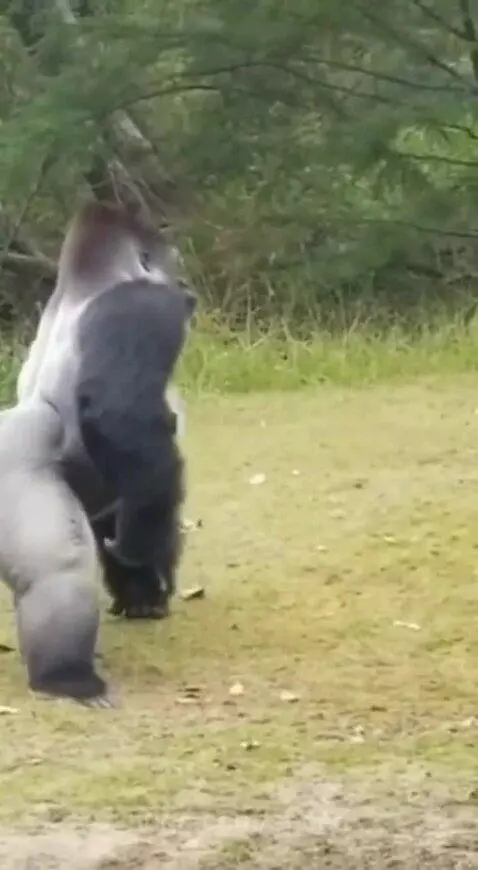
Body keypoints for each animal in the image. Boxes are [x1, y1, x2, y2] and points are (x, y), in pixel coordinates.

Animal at [17, 201, 196, 620]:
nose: (186, 288)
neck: (90, 279)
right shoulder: (140, 304)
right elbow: (118, 415)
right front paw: (139, 549)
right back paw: (148, 592)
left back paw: (135, 597)